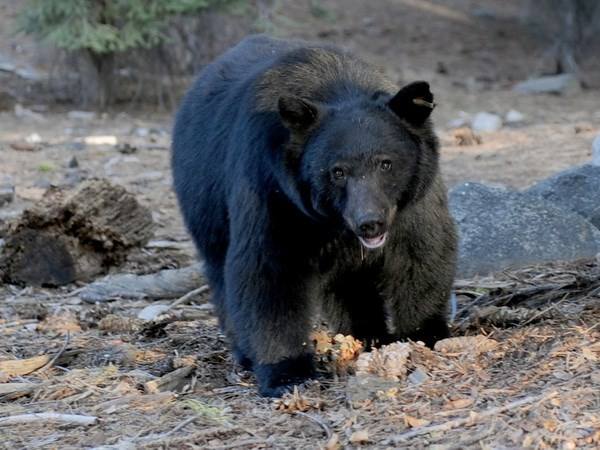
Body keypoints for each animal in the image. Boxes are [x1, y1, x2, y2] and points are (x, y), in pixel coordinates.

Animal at [171, 36, 458, 398]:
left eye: (386, 163)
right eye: (337, 171)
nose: (370, 223)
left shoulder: (412, 203)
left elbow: (421, 254)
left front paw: (425, 335)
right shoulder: (274, 191)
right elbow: (269, 271)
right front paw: (287, 373)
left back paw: (366, 334)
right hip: (204, 201)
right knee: (221, 272)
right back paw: (245, 352)